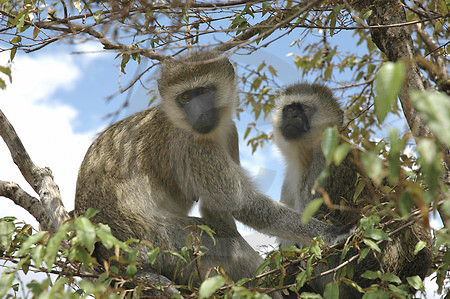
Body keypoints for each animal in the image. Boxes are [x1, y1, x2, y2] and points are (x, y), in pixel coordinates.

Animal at [74, 52, 352, 296]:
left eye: (205, 91)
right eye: (186, 97)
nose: (199, 112)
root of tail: (108, 255)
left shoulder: (229, 132)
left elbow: (217, 207)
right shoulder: (192, 143)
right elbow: (238, 203)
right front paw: (330, 233)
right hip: (163, 243)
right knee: (228, 243)